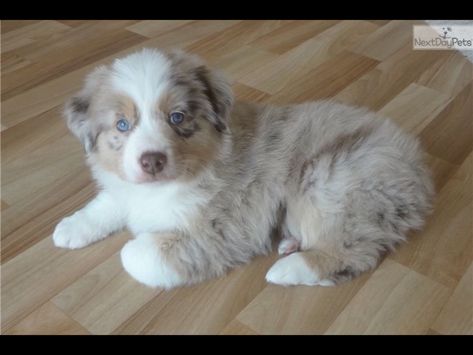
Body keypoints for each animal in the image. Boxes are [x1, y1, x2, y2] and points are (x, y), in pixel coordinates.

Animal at [53, 48, 434, 290]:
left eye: (177, 117)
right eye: (122, 125)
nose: (152, 160)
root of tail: (417, 166)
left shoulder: (220, 229)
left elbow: (133, 253)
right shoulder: (128, 188)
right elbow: (109, 201)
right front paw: (70, 228)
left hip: (331, 185)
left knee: (352, 252)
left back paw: (288, 269)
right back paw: (290, 243)